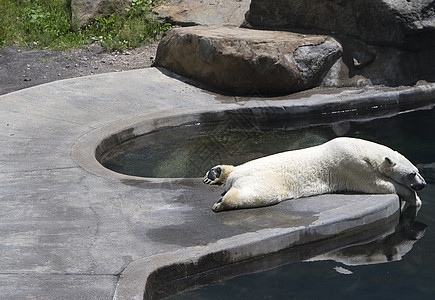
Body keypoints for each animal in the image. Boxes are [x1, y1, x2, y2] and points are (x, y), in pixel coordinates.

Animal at [204, 137, 426, 212]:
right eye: (413, 173)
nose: (423, 184)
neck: (364, 150)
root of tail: (235, 177)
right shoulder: (350, 164)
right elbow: (377, 184)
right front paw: (414, 198)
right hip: (262, 179)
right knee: (260, 194)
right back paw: (221, 203)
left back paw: (216, 173)